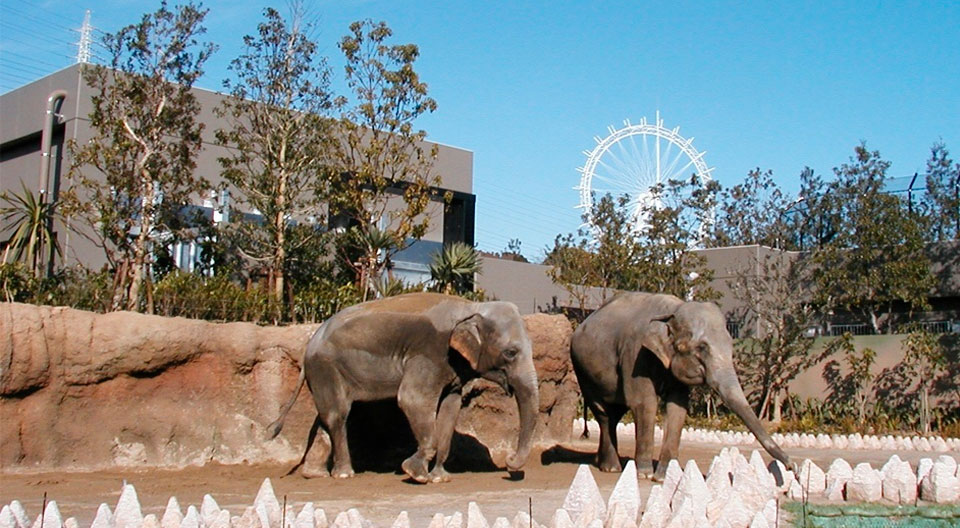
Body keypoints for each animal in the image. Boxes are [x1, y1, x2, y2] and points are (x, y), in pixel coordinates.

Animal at [268, 292, 540, 482]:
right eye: (511, 353)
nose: (509, 461)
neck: (471, 307)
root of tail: (310, 343)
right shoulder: (430, 353)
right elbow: (412, 400)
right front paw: (415, 473)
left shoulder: (453, 368)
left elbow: (450, 409)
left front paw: (440, 478)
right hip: (326, 367)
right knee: (338, 414)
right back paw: (344, 474)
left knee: (326, 416)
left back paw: (315, 474)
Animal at [568, 290, 788, 480]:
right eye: (702, 347)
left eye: (730, 344)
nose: (790, 466)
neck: (672, 310)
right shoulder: (635, 354)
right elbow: (644, 403)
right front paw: (645, 475)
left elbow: (678, 407)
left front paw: (664, 476)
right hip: (583, 372)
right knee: (604, 413)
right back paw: (612, 468)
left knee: (615, 413)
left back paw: (604, 463)